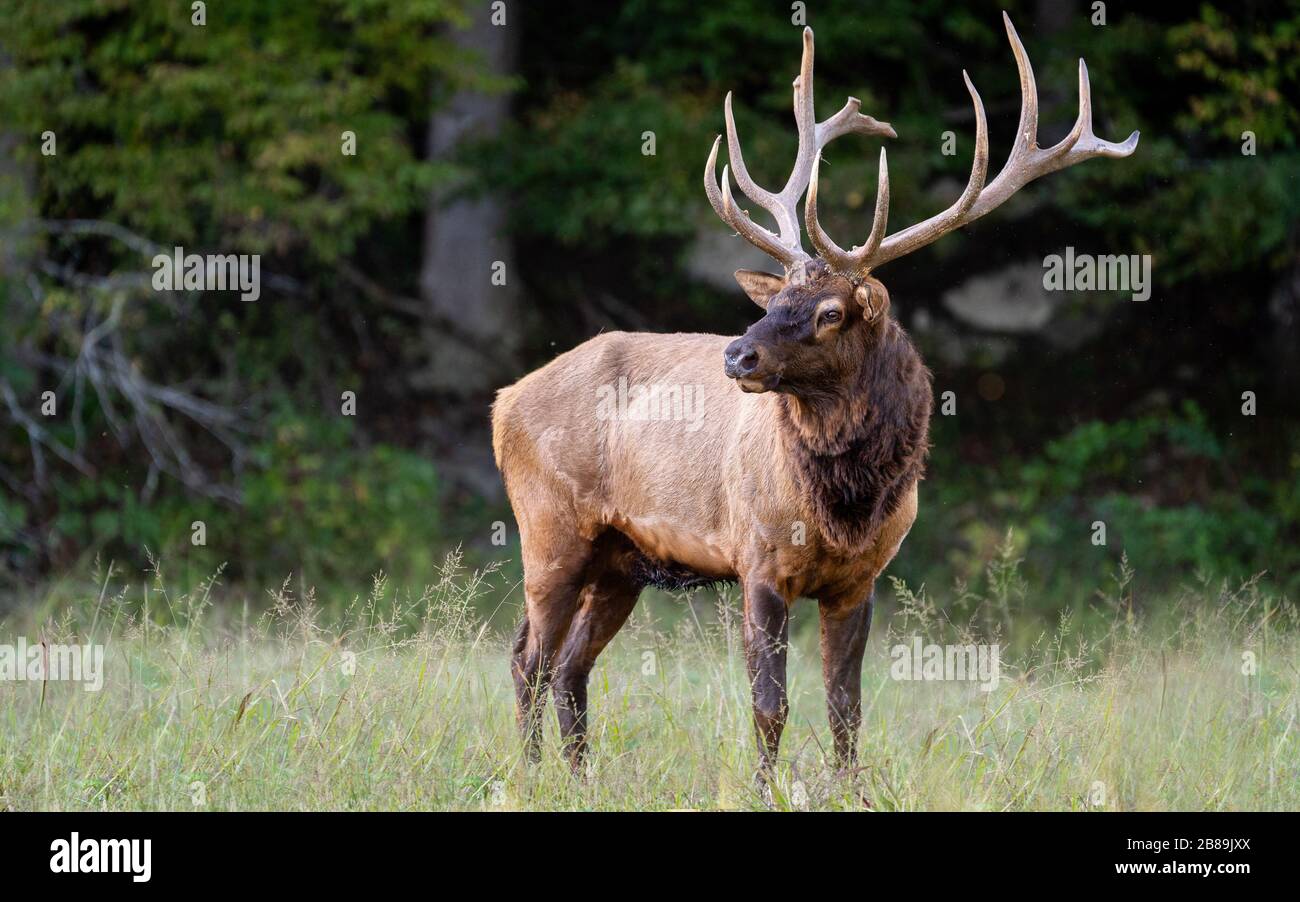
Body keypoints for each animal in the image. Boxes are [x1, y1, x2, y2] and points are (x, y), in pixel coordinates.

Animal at [492, 12, 1137, 781]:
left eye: (831, 311)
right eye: (777, 300)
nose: (737, 354)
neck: (842, 509)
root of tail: (502, 401)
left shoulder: (862, 578)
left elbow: (846, 710)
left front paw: (852, 789)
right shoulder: (757, 560)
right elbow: (770, 707)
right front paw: (766, 789)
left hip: (621, 560)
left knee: (568, 666)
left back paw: (578, 777)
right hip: (549, 528)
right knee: (527, 656)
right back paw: (529, 776)